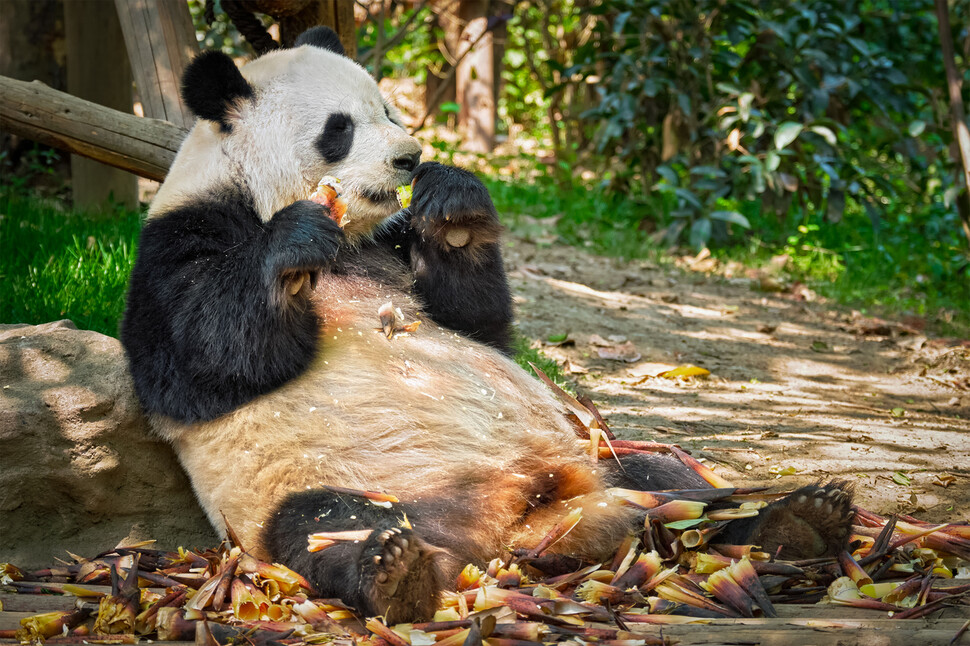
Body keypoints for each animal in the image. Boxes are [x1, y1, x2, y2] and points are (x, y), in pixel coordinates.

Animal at [119, 27, 848, 624]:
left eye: (387, 109)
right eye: (340, 128)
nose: (409, 157)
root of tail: (513, 525)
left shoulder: (391, 243)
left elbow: (478, 322)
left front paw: (454, 206)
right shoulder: (176, 241)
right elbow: (202, 356)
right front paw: (294, 243)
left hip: (596, 458)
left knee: (668, 479)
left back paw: (793, 522)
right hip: (317, 482)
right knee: (326, 523)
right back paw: (395, 575)